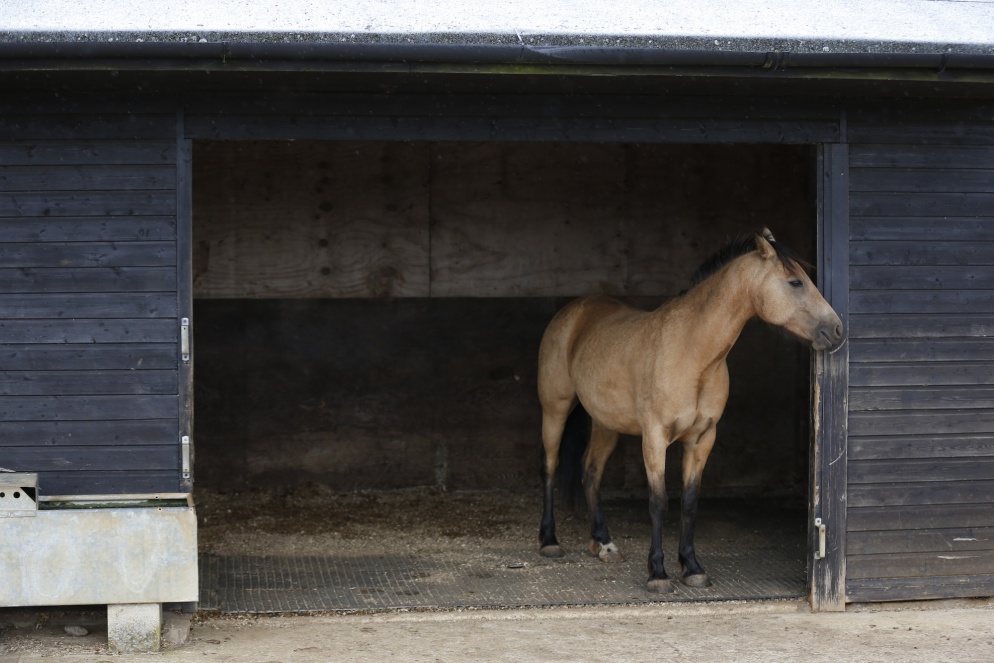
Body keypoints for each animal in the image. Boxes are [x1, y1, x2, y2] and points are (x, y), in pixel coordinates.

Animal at [540, 230, 840, 596]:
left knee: (590, 472)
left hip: (605, 424)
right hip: (555, 409)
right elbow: (658, 502)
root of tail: (573, 311)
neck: (692, 353)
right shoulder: (655, 437)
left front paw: (693, 567)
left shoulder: (701, 438)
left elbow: (689, 501)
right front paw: (657, 574)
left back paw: (604, 544)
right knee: (550, 466)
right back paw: (549, 541)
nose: (837, 330)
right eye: (795, 282)